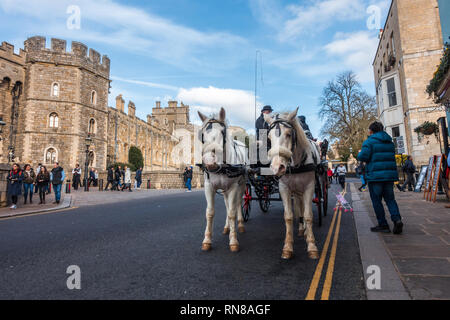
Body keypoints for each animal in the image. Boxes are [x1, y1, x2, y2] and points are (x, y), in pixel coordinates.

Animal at [197, 107, 246, 252]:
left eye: (222, 132)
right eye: (202, 134)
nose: (209, 161)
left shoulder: (234, 187)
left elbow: (232, 212)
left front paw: (233, 240)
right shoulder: (209, 186)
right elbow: (210, 212)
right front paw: (207, 240)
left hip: (241, 185)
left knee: (237, 204)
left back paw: (240, 225)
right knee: (227, 204)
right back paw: (227, 227)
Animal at [264, 109, 320, 258]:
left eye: (289, 134)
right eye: (269, 138)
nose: (277, 167)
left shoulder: (309, 187)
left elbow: (308, 215)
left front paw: (312, 246)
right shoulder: (284, 188)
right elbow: (288, 216)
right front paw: (288, 247)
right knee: (300, 208)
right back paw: (301, 229)